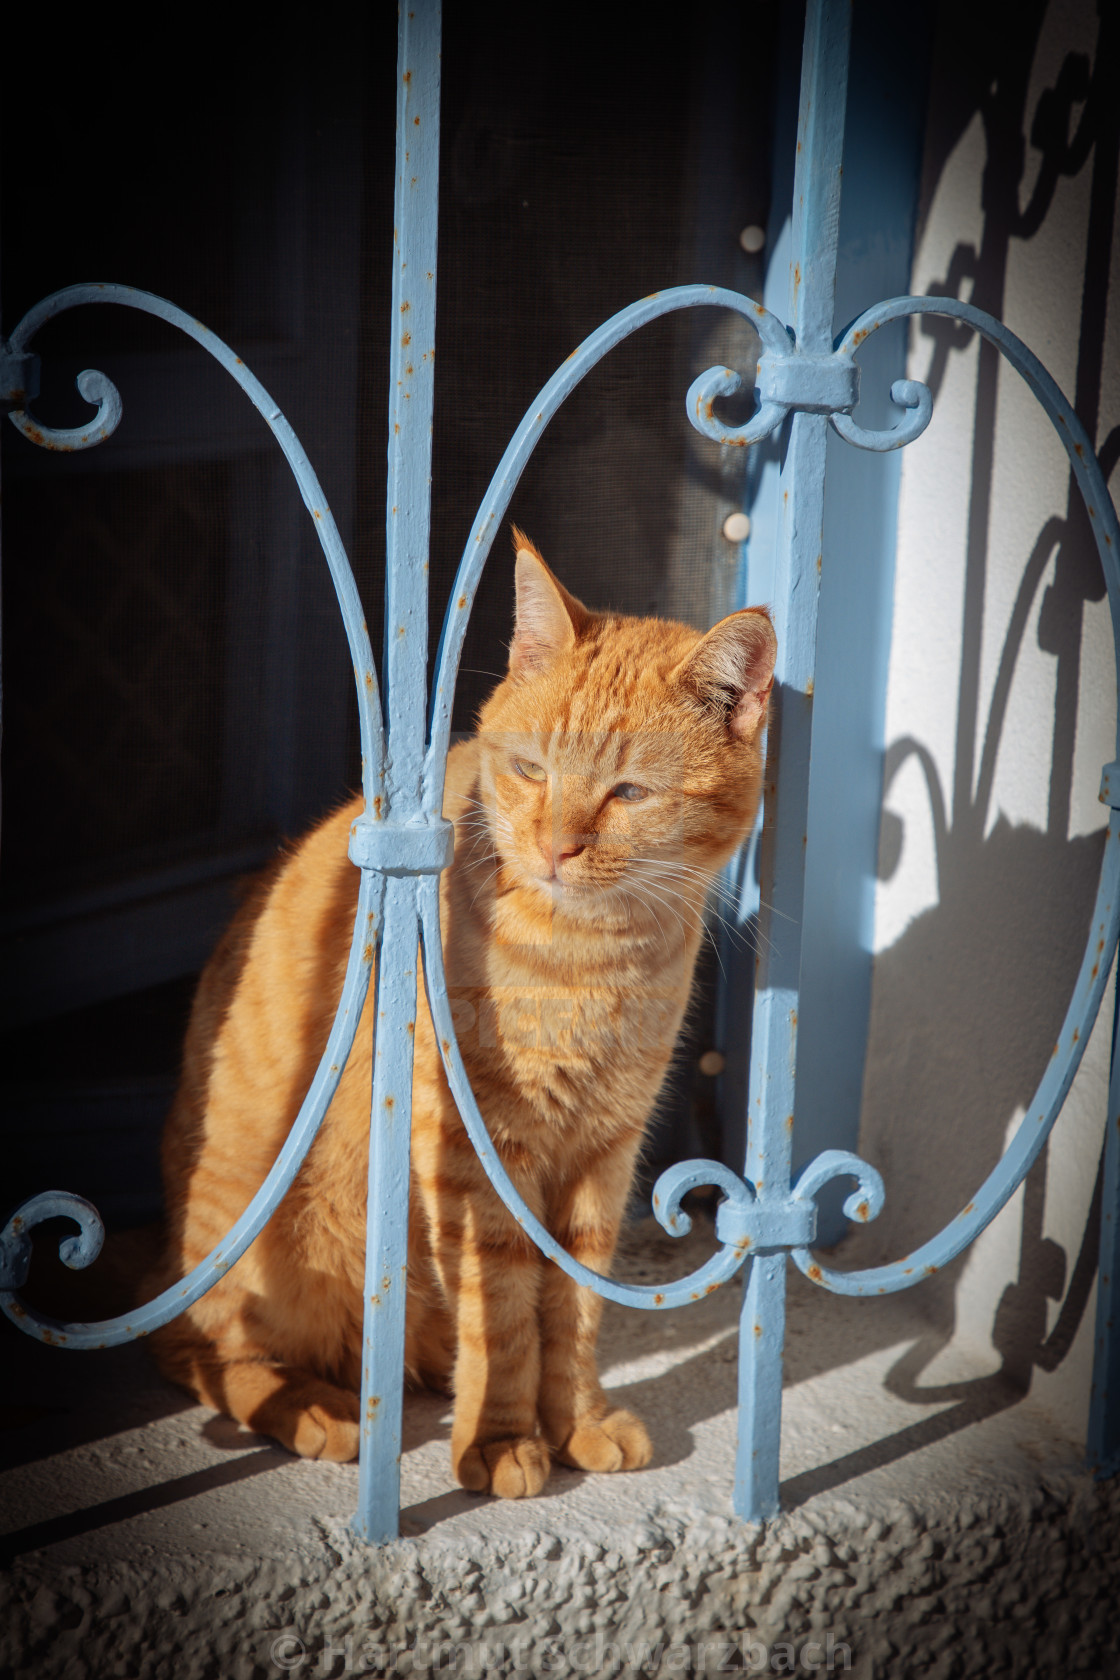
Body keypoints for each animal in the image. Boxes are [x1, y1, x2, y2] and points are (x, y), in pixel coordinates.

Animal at [148, 534, 775, 1498]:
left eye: (629, 794)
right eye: (530, 770)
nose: (556, 847)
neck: (590, 960)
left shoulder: (605, 1149)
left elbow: (576, 1300)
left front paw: (576, 1420)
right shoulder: (476, 1156)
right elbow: (505, 1310)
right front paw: (503, 1439)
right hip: (251, 1245)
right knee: (200, 1347)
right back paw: (315, 1409)